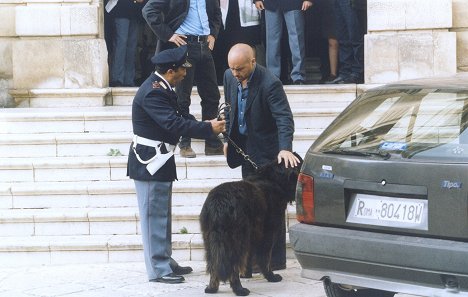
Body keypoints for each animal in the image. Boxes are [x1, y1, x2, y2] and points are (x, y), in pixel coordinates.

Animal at [198, 153, 302, 294]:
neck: (273, 179)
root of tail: (219, 203)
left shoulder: (252, 235)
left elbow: (249, 256)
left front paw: (246, 274)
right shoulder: (267, 233)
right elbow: (265, 257)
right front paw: (271, 276)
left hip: (210, 239)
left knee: (213, 264)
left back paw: (212, 288)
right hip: (235, 239)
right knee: (233, 265)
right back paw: (239, 289)